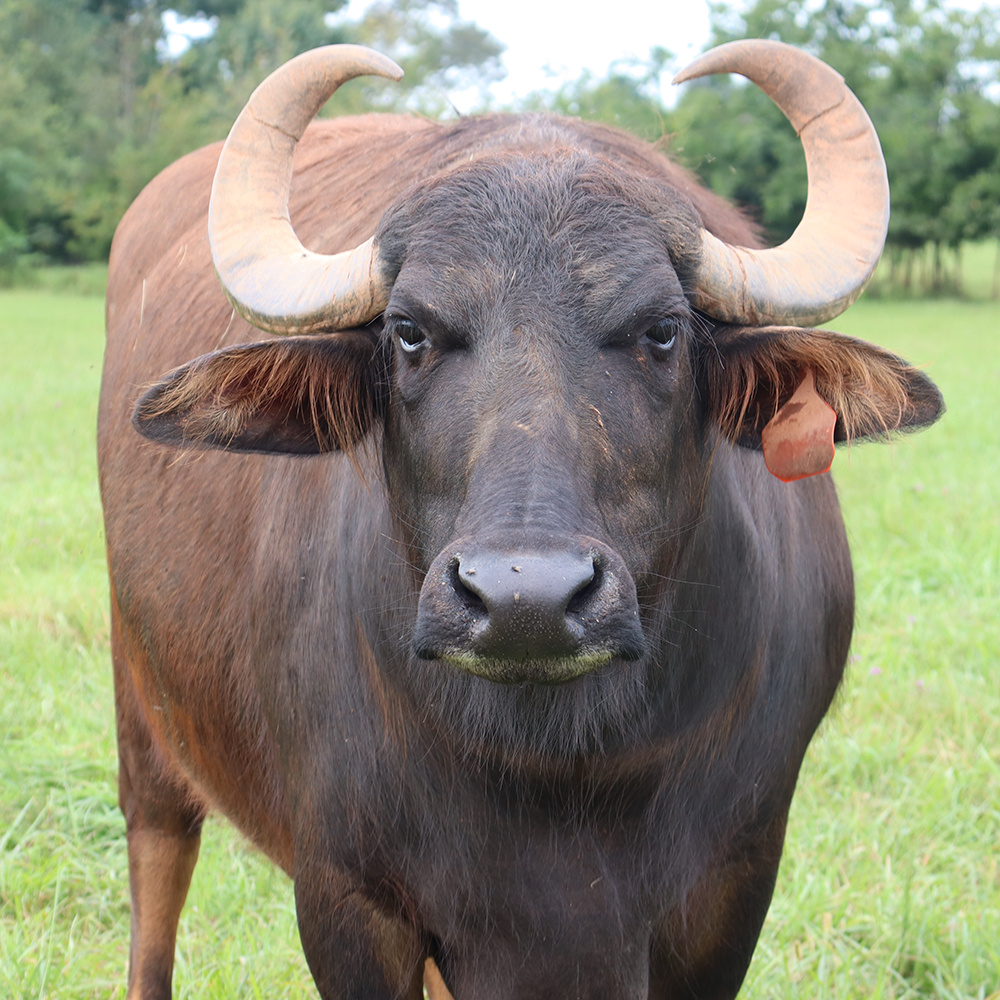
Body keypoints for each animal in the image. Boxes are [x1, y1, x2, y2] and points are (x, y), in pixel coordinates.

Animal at [98, 40, 942, 1000]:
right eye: (409, 332)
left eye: (662, 330)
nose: (524, 598)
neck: (559, 766)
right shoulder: (344, 898)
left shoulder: (735, 889)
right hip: (142, 713)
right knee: (157, 869)